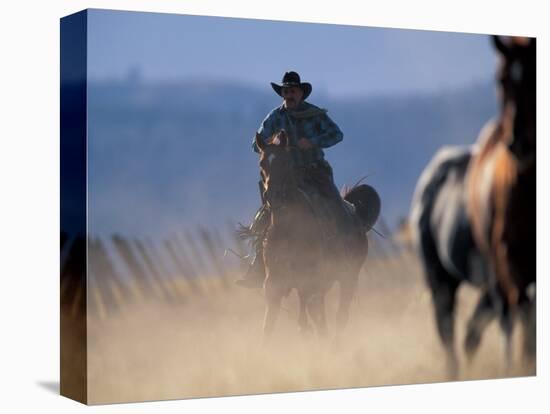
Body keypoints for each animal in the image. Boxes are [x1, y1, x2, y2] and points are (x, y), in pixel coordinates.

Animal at [254, 131, 380, 342]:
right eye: (262, 163)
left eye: (284, 162)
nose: (274, 196)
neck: (289, 230)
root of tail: (355, 214)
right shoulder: (274, 285)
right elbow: (268, 326)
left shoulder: (313, 283)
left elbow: (320, 321)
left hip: (348, 277)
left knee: (340, 315)